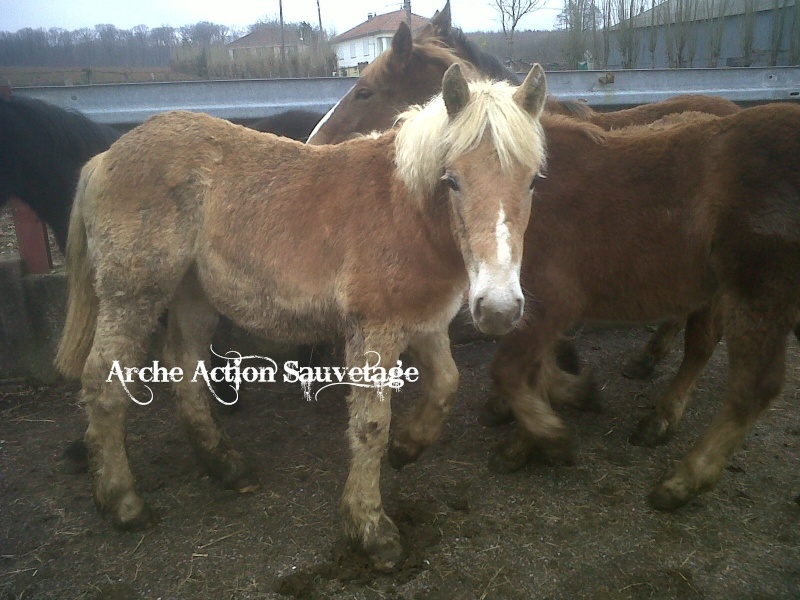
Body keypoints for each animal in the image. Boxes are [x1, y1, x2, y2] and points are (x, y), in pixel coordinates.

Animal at [53, 65, 548, 572]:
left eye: (532, 181)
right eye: (452, 180)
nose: (499, 308)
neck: (403, 209)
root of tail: (105, 158)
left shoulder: (423, 322)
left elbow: (447, 384)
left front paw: (408, 448)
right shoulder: (374, 329)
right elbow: (370, 425)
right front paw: (370, 528)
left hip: (193, 291)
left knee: (184, 368)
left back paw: (226, 466)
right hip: (133, 293)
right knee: (103, 382)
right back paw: (123, 502)